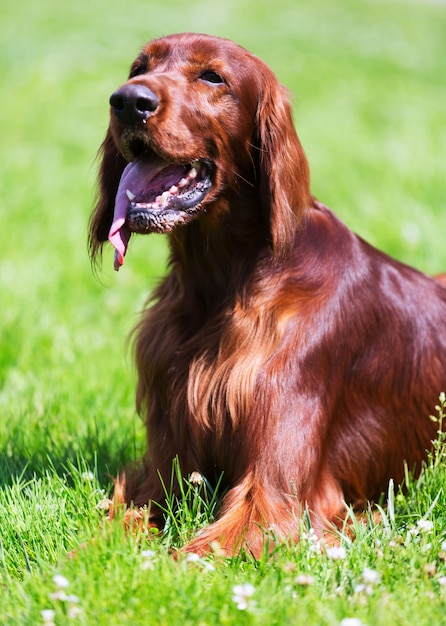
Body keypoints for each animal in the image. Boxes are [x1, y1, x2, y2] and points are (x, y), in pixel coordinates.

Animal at [88, 31, 446, 552]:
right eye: (139, 68)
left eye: (212, 76)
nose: (128, 101)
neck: (220, 283)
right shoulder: (163, 477)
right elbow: (103, 536)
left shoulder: (274, 497)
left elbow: (192, 554)